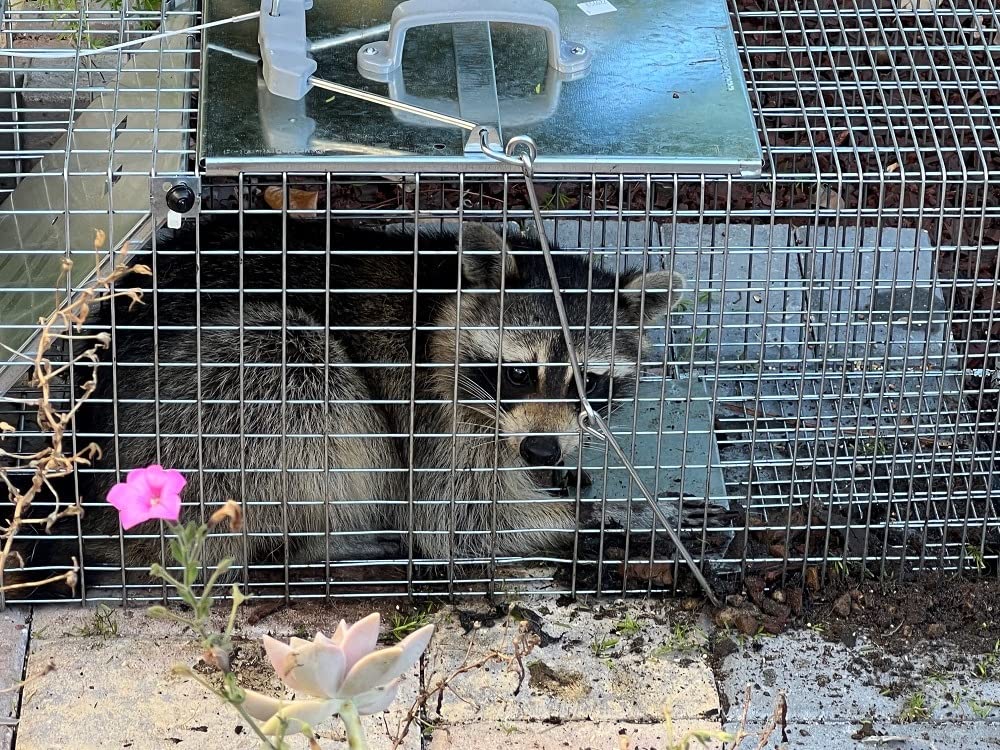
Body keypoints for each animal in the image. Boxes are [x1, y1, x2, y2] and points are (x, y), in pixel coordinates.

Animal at [9, 218, 684, 583]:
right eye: (519, 374)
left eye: (589, 382)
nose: (542, 450)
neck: (447, 298)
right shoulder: (434, 404)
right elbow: (451, 520)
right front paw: (589, 524)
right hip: (199, 423)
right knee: (291, 355)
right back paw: (311, 543)